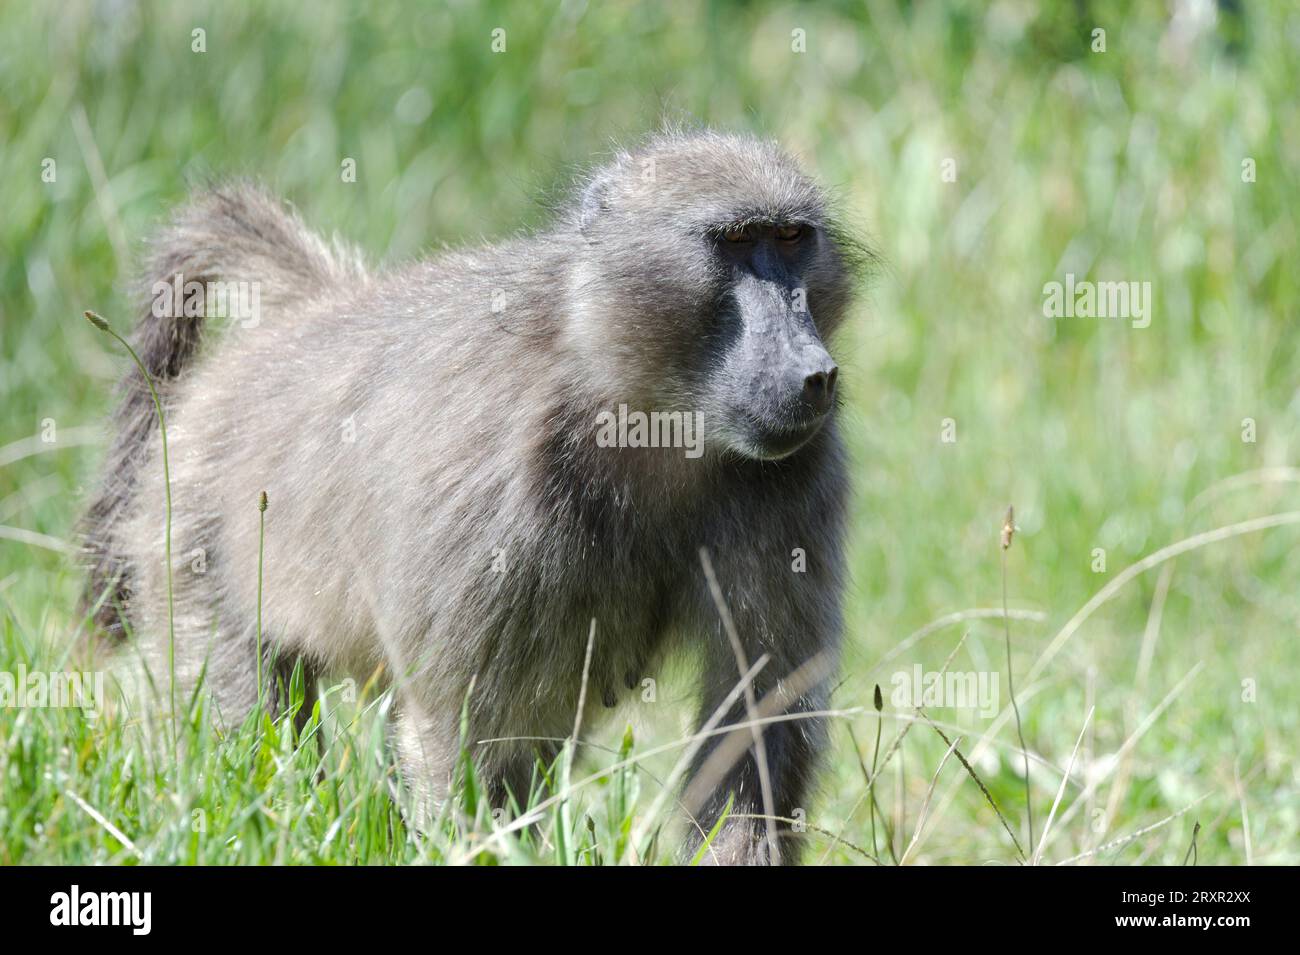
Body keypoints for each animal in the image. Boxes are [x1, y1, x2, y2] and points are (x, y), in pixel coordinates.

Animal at [80, 129, 864, 865]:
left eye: (791, 240)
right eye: (735, 242)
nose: (812, 372)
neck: (643, 411)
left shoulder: (796, 480)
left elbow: (755, 727)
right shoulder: (501, 499)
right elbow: (464, 735)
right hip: (193, 533)